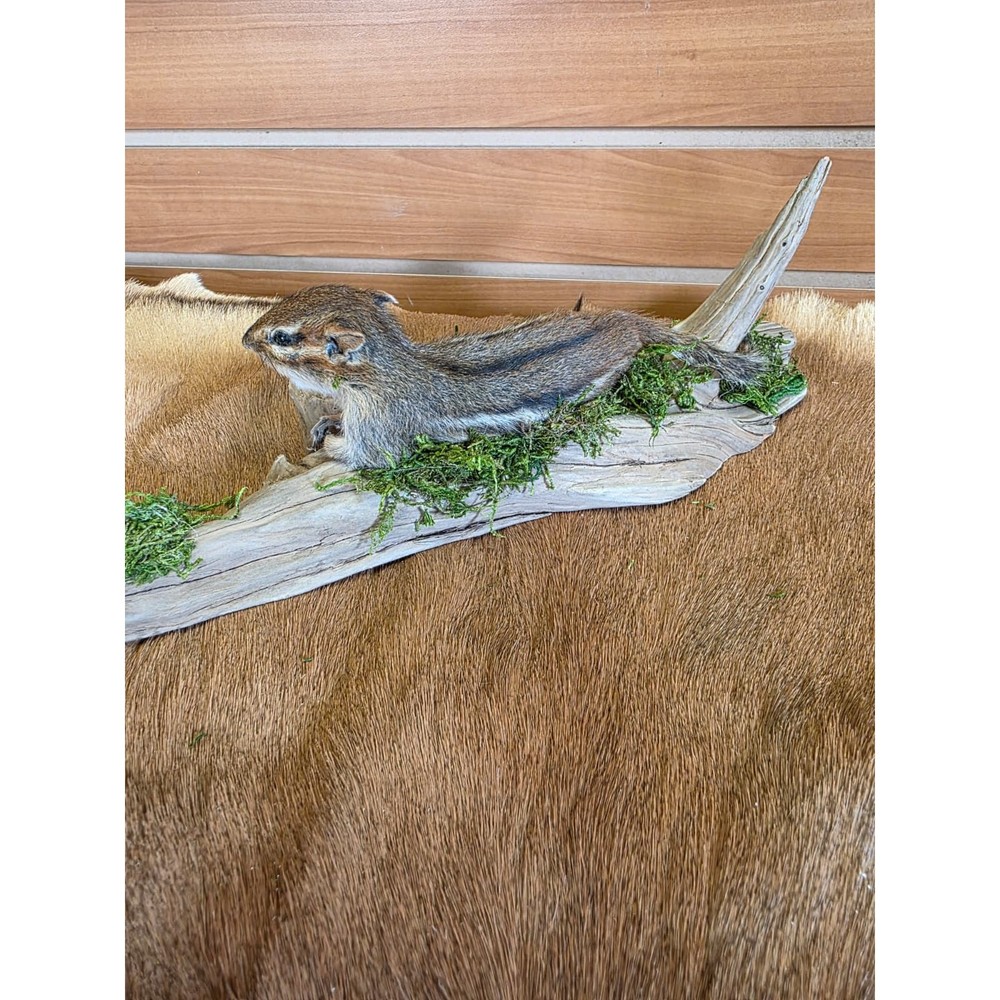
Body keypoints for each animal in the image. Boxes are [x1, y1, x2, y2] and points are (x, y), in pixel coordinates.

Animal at [242, 284, 770, 470]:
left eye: (283, 337)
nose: (246, 337)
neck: (391, 371)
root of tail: (623, 321)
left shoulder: (382, 426)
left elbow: (364, 456)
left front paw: (328, 445)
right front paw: (322, 424)